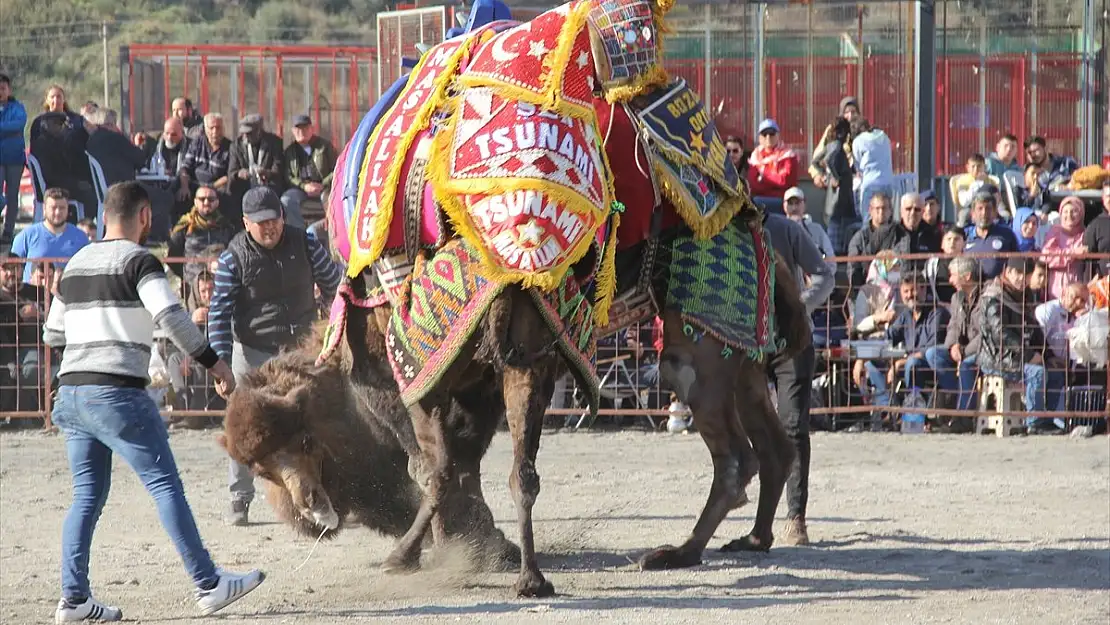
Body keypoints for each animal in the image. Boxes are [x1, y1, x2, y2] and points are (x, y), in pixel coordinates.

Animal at [218, 0, 808, 599]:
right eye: (262, 468)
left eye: (302, 443)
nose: (311, 512)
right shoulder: (490, 370)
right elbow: (466, 461)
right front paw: (487, 547)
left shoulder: (408, 371)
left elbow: (432, 464)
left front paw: (450, 548)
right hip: (734, 348)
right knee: (770, 446)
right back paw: (744, 540)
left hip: (695, 349)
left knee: (733, 459)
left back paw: (675, 552)